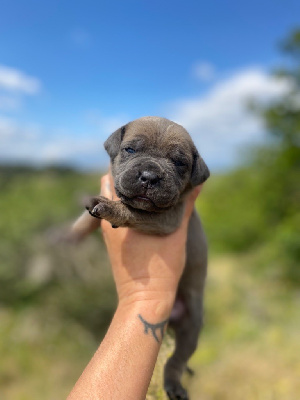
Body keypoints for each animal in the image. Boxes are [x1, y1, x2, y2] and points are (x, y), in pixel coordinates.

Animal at [71, 116, 210, 400]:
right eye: (130, 150)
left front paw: (112, 209)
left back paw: (174, 386)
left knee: (177, 360)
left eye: (179, 163)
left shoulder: (168, 217)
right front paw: (70, 234)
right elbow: (85, 219)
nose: (149, 177)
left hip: (191, 326)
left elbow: (134, 210)